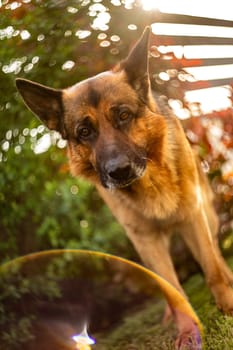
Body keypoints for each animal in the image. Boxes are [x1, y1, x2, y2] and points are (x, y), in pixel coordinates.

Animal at [15, 28, 233, 350]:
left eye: (124, 116)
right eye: (84, 132)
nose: (118, 171)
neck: (152, 184)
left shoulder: (193, 218)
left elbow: (212, 269)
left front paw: (227, 307)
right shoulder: (145, 240)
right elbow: (171, 289)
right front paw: (186, 331)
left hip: (207, 215)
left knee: (215, 255)